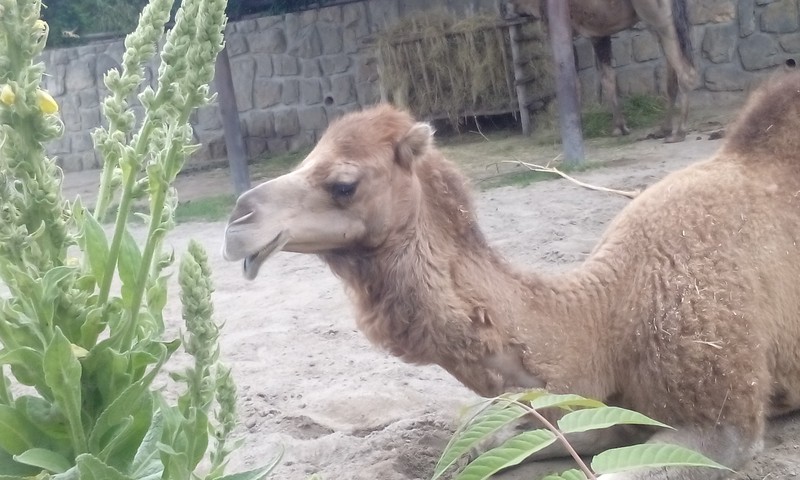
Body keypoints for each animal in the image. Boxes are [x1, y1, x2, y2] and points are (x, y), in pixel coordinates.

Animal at [222, 72, 800, 479]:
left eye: (344, 184)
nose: (238, 221)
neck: (608, 316)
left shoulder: (721, 420)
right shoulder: (585, 405)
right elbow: (488, 442)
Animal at [508, 0, 697, 142]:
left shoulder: (559, 30)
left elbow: (574, 82)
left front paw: (578, 130)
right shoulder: (598, 33)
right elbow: (608, 79)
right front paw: (620, 127)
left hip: (657, 18)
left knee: (685, 72)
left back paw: (679, 133)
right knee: (672, 76)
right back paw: (663, 130)